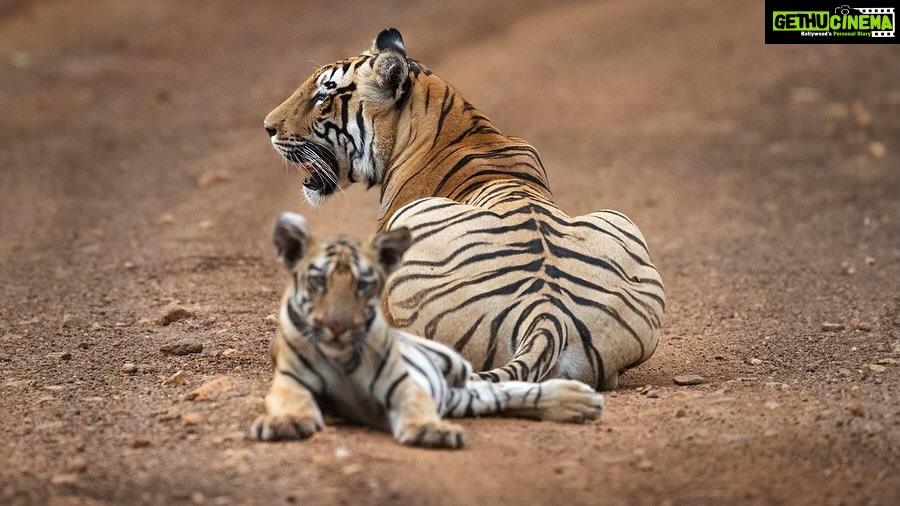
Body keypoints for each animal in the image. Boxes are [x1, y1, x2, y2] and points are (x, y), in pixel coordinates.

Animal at [250, 212, 606, 448]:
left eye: (364, 285)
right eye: (318, 281)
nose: (338, 326)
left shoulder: (405, 384)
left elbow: (415, 404)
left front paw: (431, 430)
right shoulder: (290, 383)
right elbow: (290, 402)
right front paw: (284, 423)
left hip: (452, 364)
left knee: (494, 386)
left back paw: (579, 401)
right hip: (457, 393)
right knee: (492, 393)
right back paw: (576, 402)